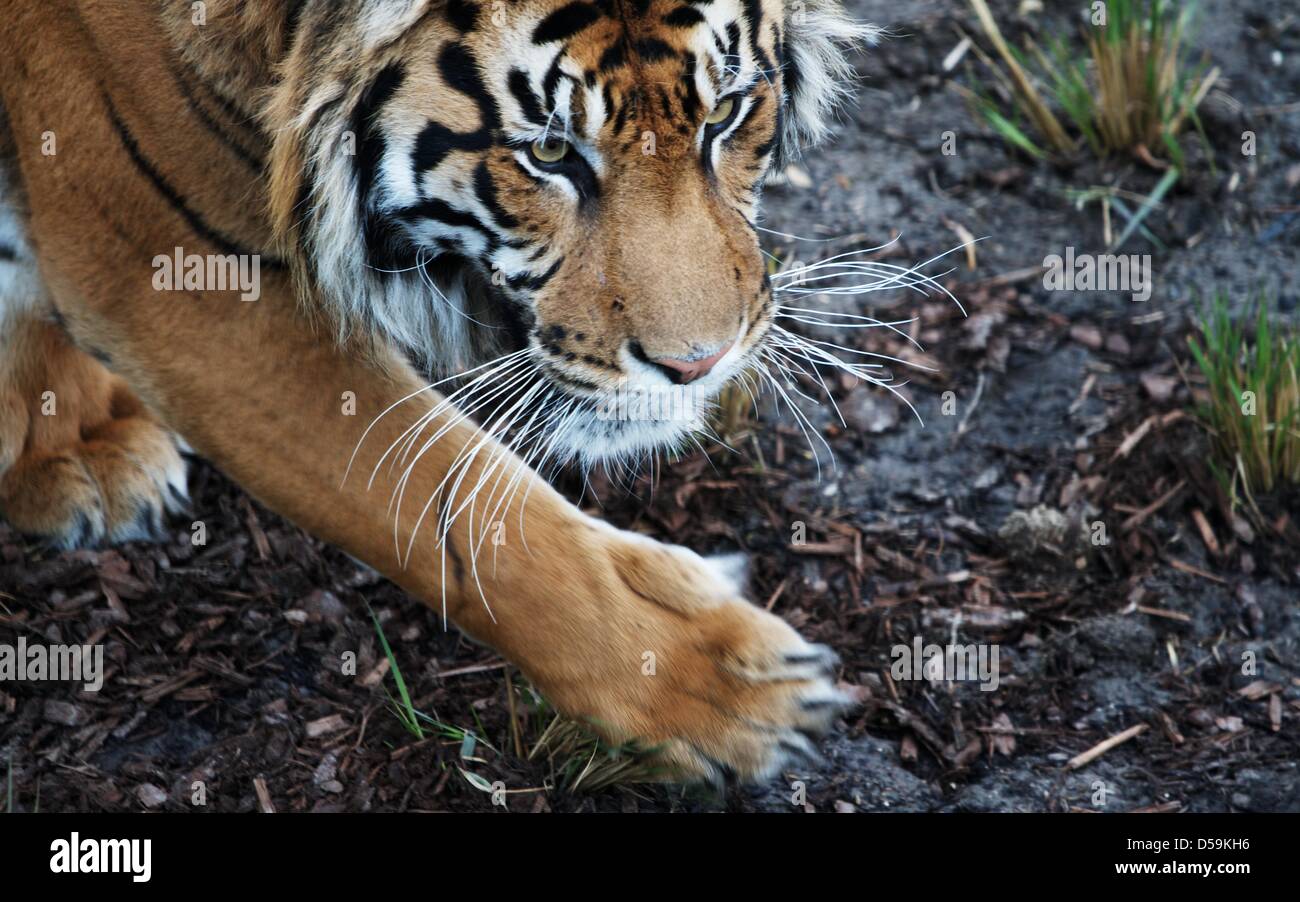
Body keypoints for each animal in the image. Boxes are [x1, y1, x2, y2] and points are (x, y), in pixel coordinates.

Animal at [0, 0, 878, 785]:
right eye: (550, 151)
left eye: (726, 113)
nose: (702, 363)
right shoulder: (189, 282)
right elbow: (467, 517)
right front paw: (724, 692)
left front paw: (65, 438)